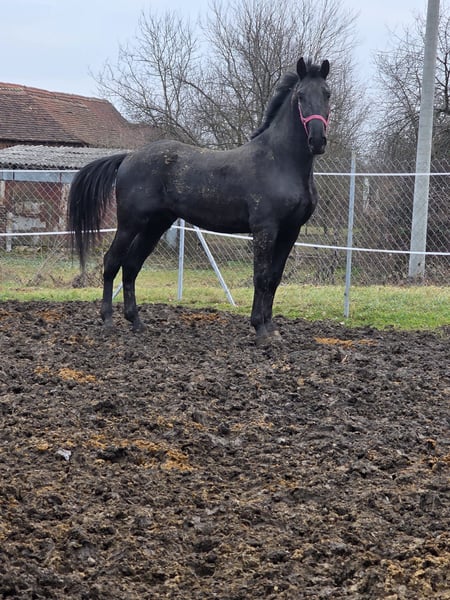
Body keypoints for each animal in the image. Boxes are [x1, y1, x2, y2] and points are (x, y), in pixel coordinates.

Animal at [67, 57, 331, 345]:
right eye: (300, 95)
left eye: (327, 93)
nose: (317, 140)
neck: (280, 162)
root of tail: (128, 157)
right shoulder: (265, 229)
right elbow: (260, 277)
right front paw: (260, 329)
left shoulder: (290, 231)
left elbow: (274, 278)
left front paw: (272, 329)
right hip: (130, 223)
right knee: (112, 262)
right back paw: (108, 321)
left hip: (155, 225)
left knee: (132, 265)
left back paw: (136, 322)